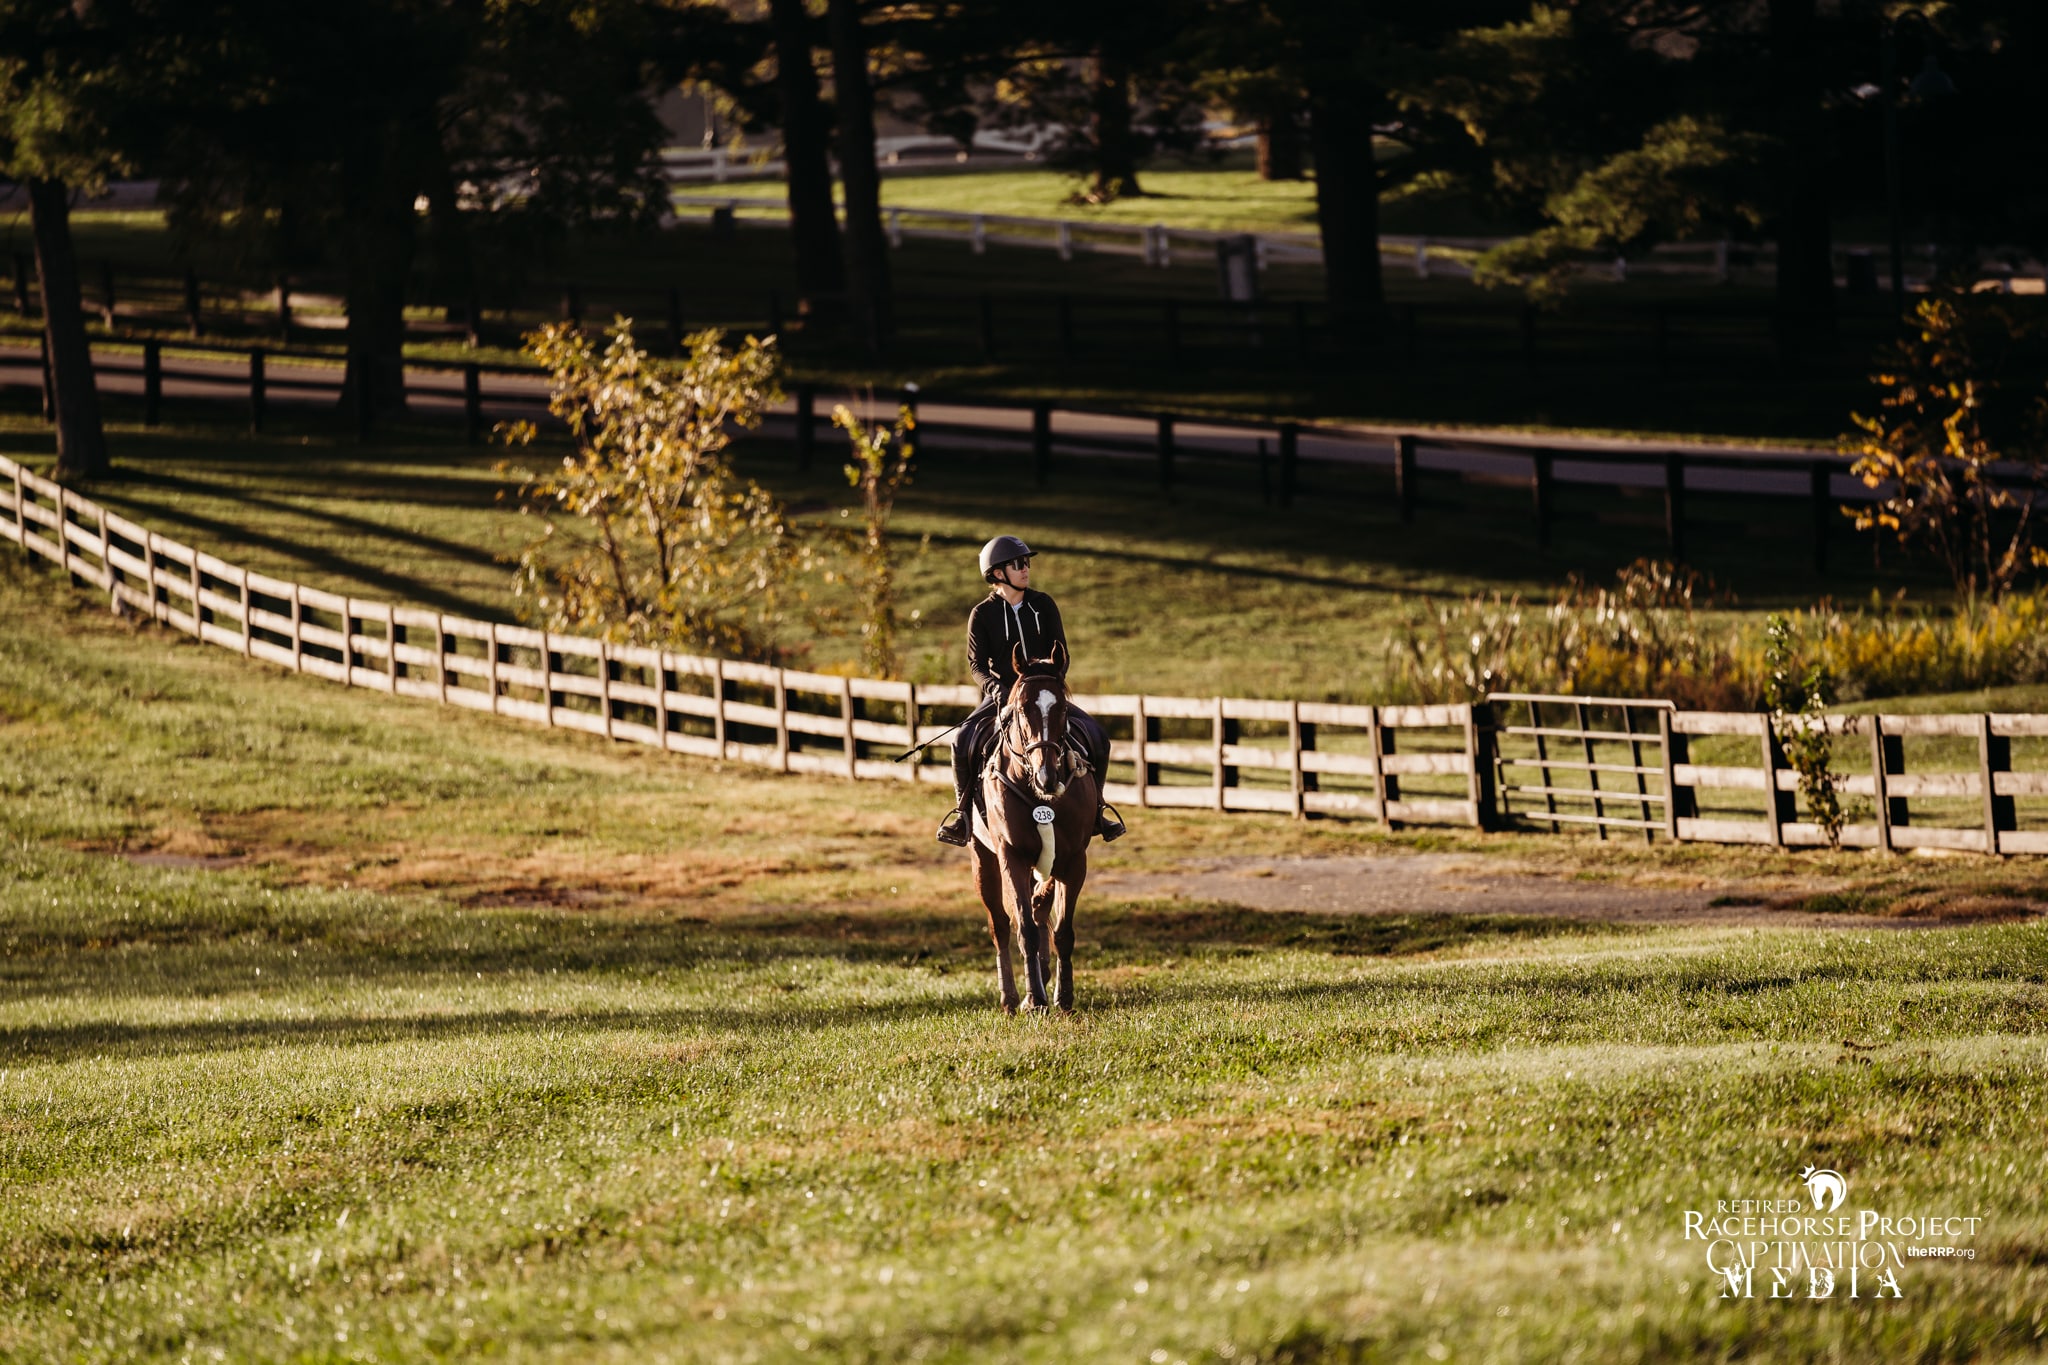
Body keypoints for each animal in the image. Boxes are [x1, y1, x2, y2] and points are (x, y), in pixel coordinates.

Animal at [966, 642, 1097, 1015]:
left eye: (1062, 706)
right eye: (1023, 709)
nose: (1047, 777)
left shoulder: (1073, 860)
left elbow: (1061, 930)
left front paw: (1064, 997)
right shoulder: (1011, 856)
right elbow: (1024, 928)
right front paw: (1035, 999)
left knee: (1039, 912)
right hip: (983, 859)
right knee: (1000, 924)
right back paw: (1012, 997)